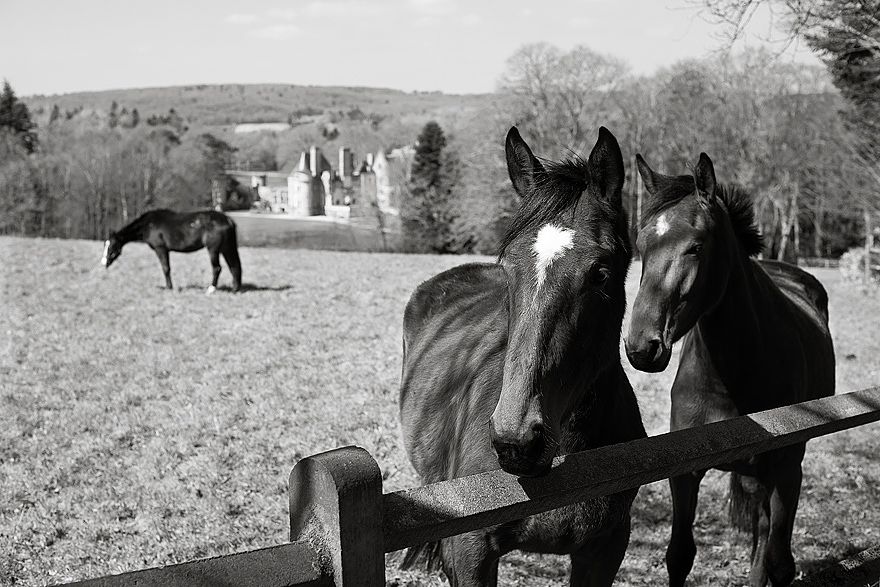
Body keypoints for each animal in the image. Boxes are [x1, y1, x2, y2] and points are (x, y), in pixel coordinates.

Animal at [100, 210, 241, 294]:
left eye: (111, 245)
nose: (103, 263)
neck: (149, 225)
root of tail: (227, 219)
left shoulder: (161, 249)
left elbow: (166, 268)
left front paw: (168, 287)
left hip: (213, 249)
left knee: (217, 268)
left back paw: (211, 289)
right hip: (226, 248)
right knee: (234, 266)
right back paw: (235, 289)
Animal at [624, 153, 836, 587]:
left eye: (696, 247)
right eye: (641, 245)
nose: (641, 348)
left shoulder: (788, 469)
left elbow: (779, 561)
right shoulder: (684, 473)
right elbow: (679, 555)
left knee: (765, 538)